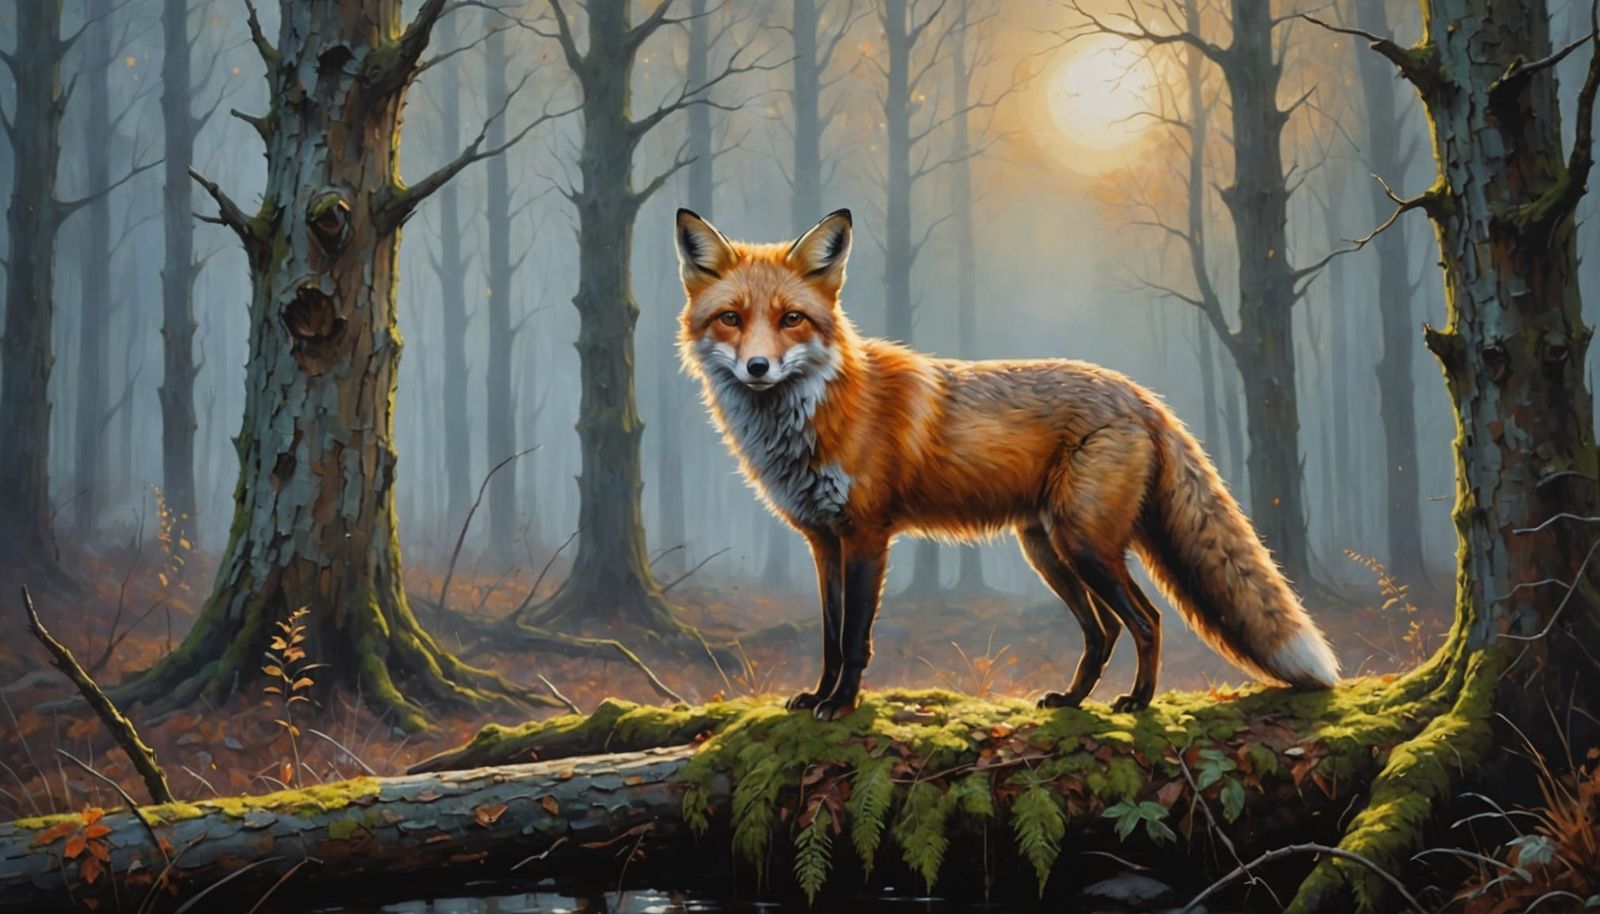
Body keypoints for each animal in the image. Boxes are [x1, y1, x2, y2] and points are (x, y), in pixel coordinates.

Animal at [674, 207, 1340, 720]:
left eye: (791, 319)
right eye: (732, 318)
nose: (758, 367)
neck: (814, 418)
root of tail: (1139, 394)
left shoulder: (866, 535)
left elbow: (857, 636)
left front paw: (841, 705)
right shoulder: (822, 541)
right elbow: (830, 637)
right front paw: (818, 696)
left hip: (1085, 545)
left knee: (1147, 620)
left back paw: (1139, 703)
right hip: (1047, 550)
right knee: (1103, 632)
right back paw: (1072, 701)